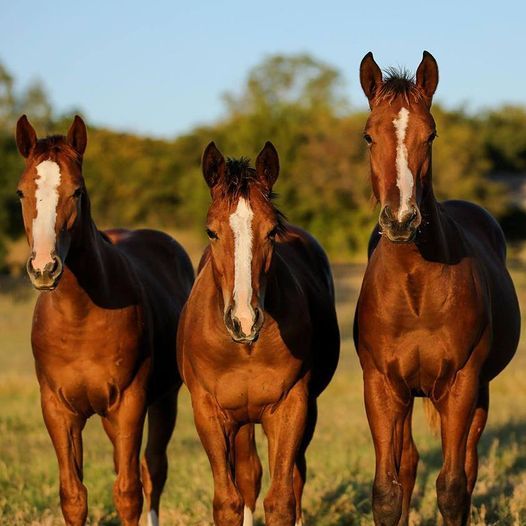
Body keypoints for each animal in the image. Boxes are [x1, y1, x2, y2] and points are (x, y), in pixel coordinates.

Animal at [15, 116, 195, 526]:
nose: (44, 268)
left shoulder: (129, 403)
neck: (80, 319)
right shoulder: (58, 410)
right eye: (20, 193)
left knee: (152, 471)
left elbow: (128, 494)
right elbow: (73, 496)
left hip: (162, 400)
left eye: (77, 192)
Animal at [177, 143, 342, 526]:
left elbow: (282, 498)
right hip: (241, 421)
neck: (245, 350)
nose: (244, 321)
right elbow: (228, 500)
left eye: (270, 232)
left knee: (295, 475)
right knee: (249, 474)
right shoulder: (209, 411)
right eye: (211, 231)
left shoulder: (290, 406)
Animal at [354, 50, 524, 526]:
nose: (401, 220)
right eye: (369, 136)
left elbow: (451, 488)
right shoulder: (381, 386)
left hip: (478, 392)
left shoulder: (461, 383)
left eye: (430, 135)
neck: (416, 289)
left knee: (467, 464)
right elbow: (387, 492)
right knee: (409, 464)